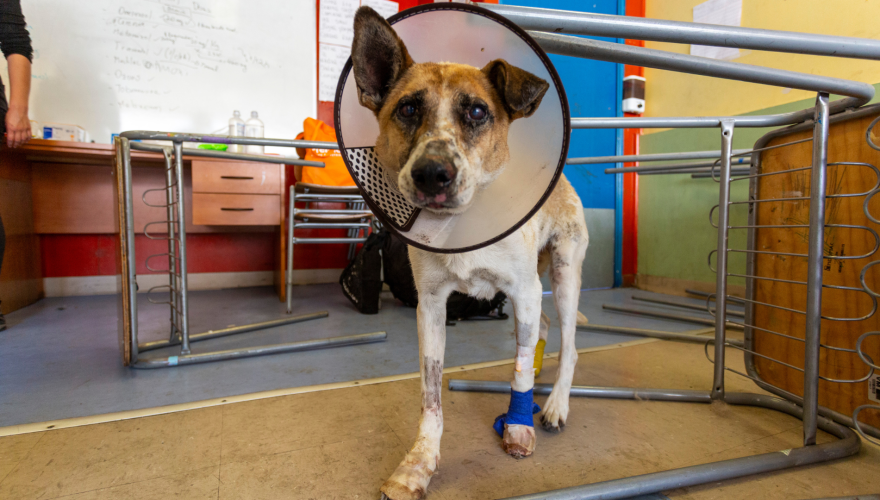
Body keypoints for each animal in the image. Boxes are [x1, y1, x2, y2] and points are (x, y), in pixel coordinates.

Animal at [350, 7, 592, 500]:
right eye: (408, 108)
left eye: (477, 111)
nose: (431, 174)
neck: (462, 229)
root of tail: (564, 181)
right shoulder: (431, 306)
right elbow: (431, 395)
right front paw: (419, 463)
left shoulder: (523, 290)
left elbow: (518, 373)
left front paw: (518, 429)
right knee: (538, 330)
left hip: (562, 277)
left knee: (569, 346)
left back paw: (555, 404)